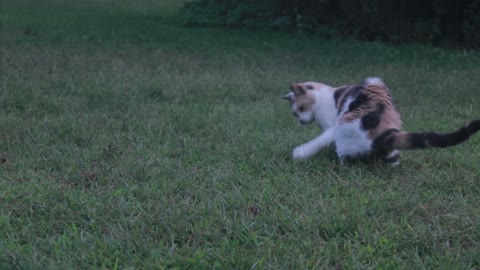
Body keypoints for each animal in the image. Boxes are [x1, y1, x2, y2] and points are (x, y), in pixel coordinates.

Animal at [282, 76, 480, 165]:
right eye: (295, 114)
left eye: (301, 109)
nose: (301, 121)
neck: (326, 97)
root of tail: (386, 133)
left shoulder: (331, 128)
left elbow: (317, 142)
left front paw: (300, 153)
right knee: (394, 156)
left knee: (347, 158)